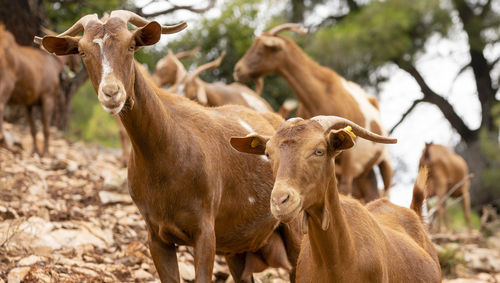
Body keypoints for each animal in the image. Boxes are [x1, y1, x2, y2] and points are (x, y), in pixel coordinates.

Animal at [0, 23, 62, 158]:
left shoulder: (27, 103)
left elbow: (33, 129)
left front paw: (35, 151)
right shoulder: (48, 98)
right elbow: (46, 128)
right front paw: (46, 153)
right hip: (6, 85)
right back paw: (5, 143)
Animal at [38, 10, 300, 282]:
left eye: (131, 45)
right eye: (82, 51)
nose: (111, 93)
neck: (167, 153)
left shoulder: (205, 232)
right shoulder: (156, 235)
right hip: (237, 247)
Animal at [234, 23, 394, 203]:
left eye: (263, 47)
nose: (238, 70)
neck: (321, 94)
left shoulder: (348, 158)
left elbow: (344, 189)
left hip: (385, 164)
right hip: (366, 174)